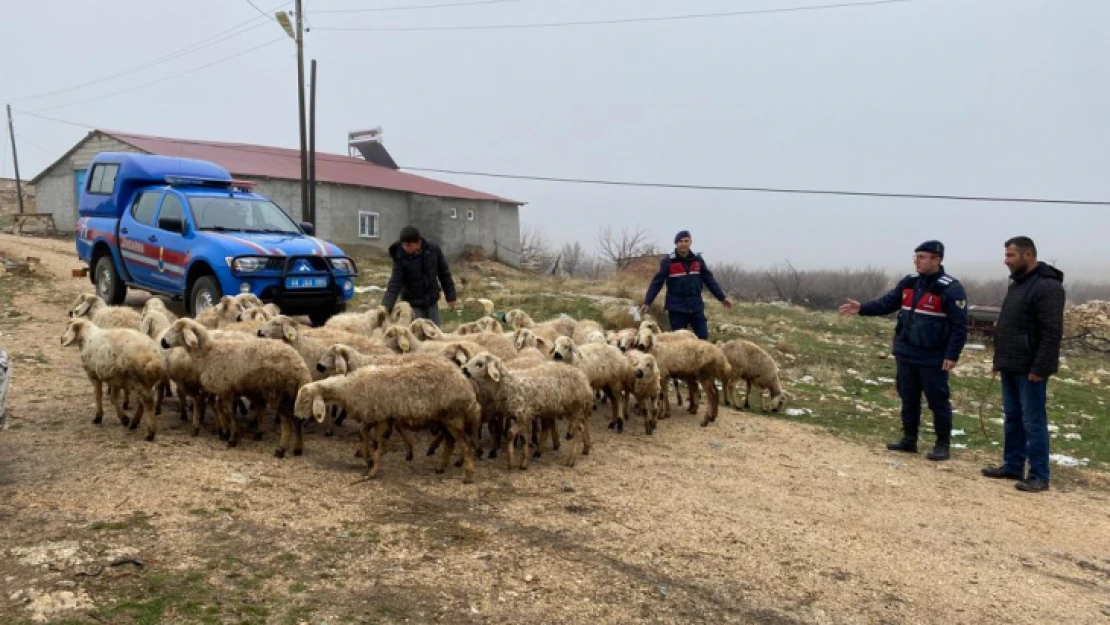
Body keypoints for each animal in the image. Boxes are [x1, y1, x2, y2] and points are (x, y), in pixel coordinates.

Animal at [295, 357, 481, 484]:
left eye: (306, 401)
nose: (297, 418)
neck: (350, 388)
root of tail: (463, 379)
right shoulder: (373, 415)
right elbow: (362, 433)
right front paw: (367, 458)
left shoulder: (382, 418)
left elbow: (377, 442)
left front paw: (372, 470)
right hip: (442, 417)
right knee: (450, 440)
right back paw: (441, 467)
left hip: (453, 416)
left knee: (464, 443)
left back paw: (468, 475)